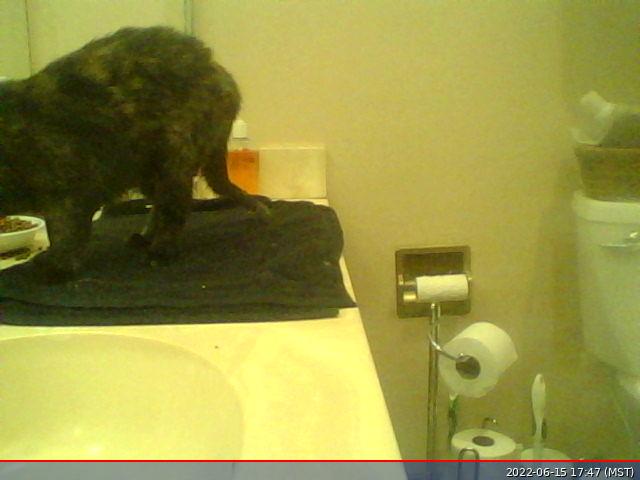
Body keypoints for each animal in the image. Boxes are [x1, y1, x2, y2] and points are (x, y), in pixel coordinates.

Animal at [0, 26, 268, 282]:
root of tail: (221, 74)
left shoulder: (68, 190)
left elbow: (65, 234)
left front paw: (57, 267)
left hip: (174, 156)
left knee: (176, 209)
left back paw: (160, 251)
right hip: (148, 171)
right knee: (160, 205)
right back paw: (145, 238)